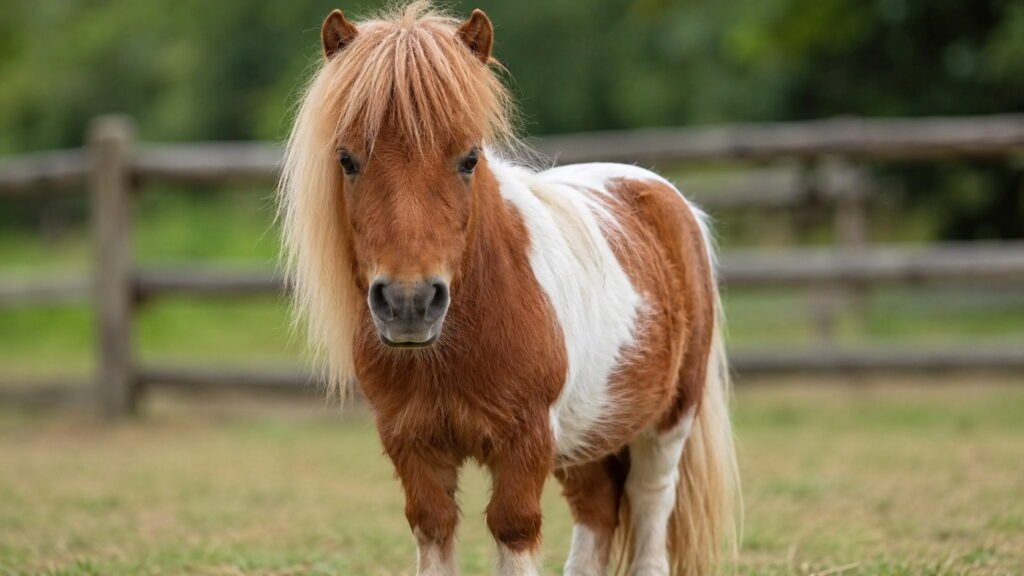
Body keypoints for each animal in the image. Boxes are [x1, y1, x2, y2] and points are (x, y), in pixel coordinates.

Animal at [278, 3, 740, 574]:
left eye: (470, 158)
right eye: (346, 159)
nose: (410, 303)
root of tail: (664, 195)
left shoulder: (527, 444)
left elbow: (513, 528)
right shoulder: (413, 445)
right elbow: (433, 527)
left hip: (668, 422)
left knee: (652, 505)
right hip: (586, 437)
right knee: (595, 512)